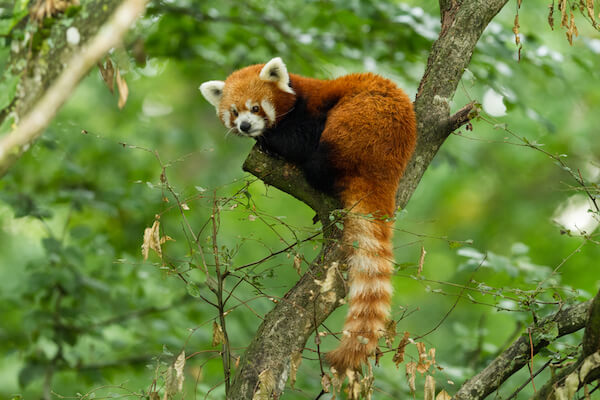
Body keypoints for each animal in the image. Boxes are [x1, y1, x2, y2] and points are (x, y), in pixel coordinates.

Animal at [199, 57, 414, 374]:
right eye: (234, 112)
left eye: (255, 108)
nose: (245, 126)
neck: (298, 95)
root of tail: (386, 169)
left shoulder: (311, 112)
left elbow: (297, 138)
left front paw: (268, 141)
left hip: (357, 124)